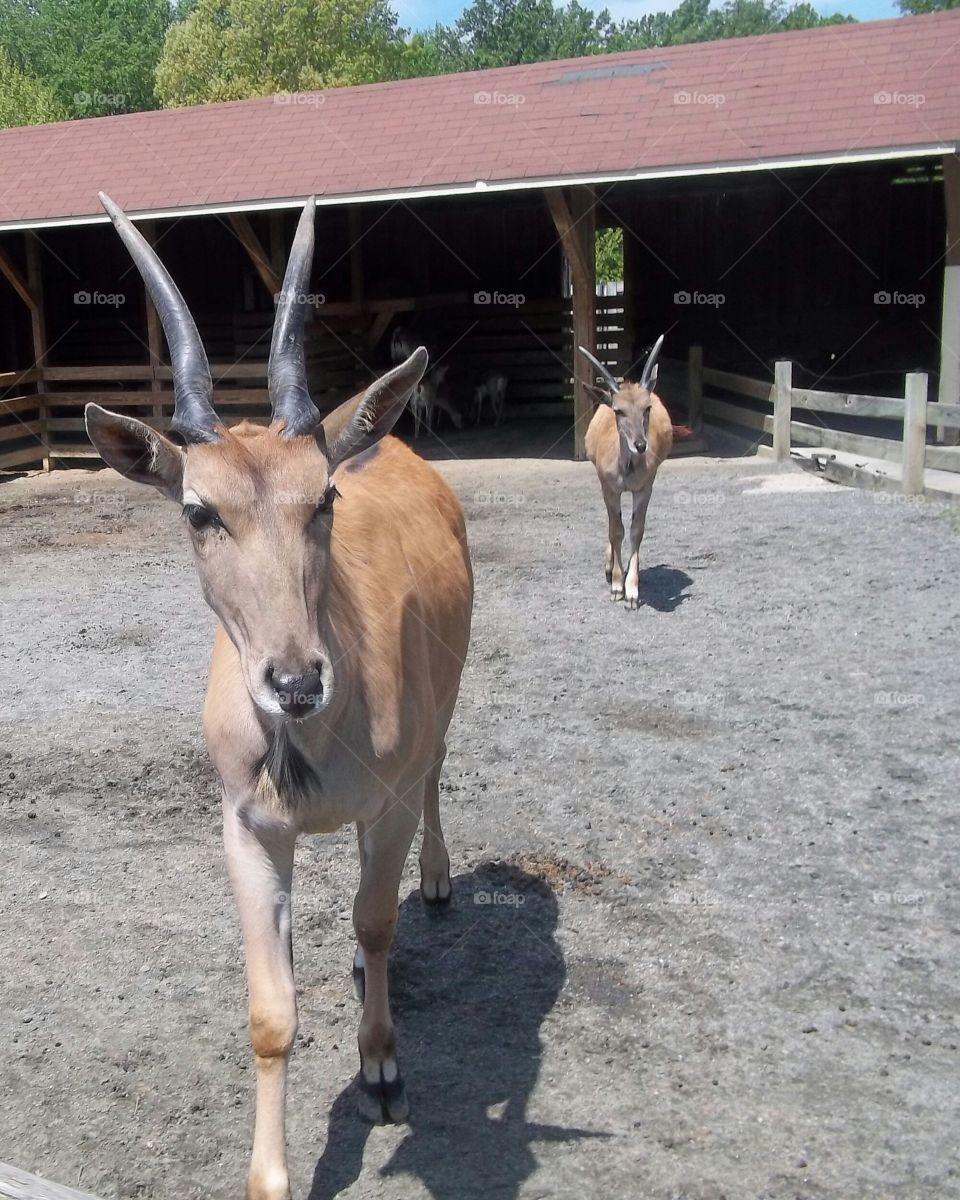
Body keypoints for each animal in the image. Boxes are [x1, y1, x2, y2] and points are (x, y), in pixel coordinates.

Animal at [84, 194, 473, 1200]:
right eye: (198, 509)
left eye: (323, 497)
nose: (297, 679)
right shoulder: (247, 828)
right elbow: (270, 1012)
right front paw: (271, 1175)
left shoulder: (384, 805)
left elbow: (375, 922)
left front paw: (382, 1071)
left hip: (444, 714)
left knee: (436, 778)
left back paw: (437, 879)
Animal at [581, 337, 672, 609]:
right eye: (618, 410)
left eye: (647, 408)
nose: (640, 445)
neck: (627, 470)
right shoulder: (609, 488)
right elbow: (616, 530)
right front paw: (616, 586)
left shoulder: (644, 488)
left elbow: (635, 531)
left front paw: (632, 591)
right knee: (613, 524)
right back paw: (609, 566)